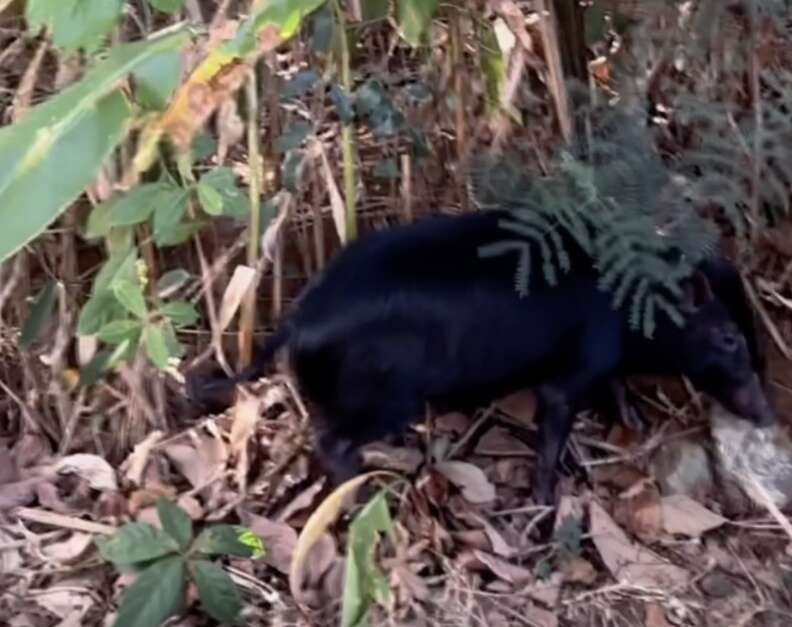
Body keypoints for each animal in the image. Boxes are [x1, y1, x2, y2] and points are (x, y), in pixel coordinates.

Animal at [187, 209, 774, 505]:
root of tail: (298, 314)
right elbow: (553, 427)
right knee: (330, 443)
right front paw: (545, 504)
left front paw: (633, 420)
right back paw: (364, 492)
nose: (767, 413)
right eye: (728, 337)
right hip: (384, 397)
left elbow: (615, 385)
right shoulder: (574, 365)